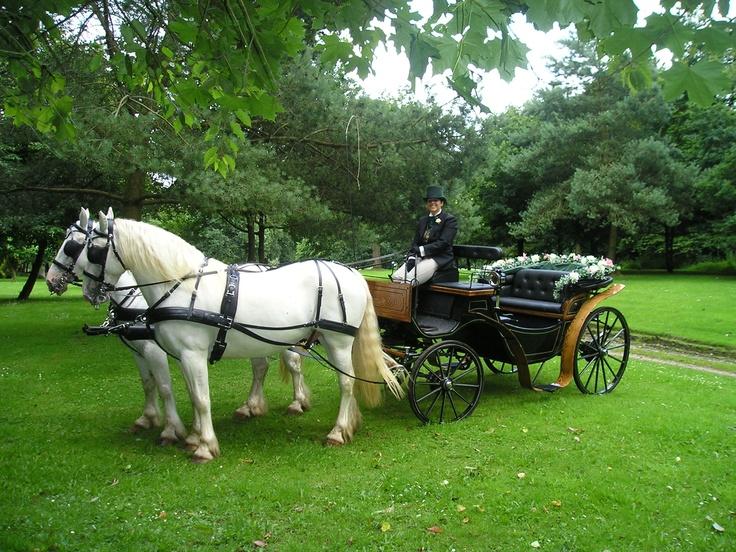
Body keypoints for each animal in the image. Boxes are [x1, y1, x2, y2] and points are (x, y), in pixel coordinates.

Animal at [46, 209, 310, 446]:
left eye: (74, 246)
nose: (50, 279)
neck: (176, 287)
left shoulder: (156, 350)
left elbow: (165, 387)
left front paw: (172, 430)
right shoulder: (139, 350)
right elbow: (150, 383)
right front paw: (150, 419)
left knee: (293, 364)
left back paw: (297, 402)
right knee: (260, 367)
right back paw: (251, 406)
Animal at [79, 209, 402, 460]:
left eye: (89, 249)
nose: (89, 292)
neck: (182, 285)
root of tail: (352, 273)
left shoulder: (189, 352)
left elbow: (198, 398)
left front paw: (203, 446)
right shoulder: (179, 354)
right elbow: (184, 392)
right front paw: (192, 436)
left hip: (338, 341)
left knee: (346, 383)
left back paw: (338, 430)